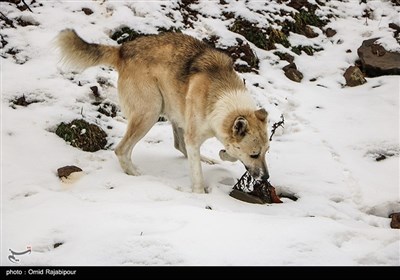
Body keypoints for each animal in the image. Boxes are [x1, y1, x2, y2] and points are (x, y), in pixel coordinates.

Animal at [57, 30, 270, 192]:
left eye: (266, 151)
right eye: (254, 154)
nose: (266, 178)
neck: (221, 95)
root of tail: (122, 50)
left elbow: (223, 152)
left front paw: (223, 154)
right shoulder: (194, 136)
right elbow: (197, 175)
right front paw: (200, 195)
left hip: (171, 109)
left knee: (179, 146)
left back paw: (206, 159)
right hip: (150, 112)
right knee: (121, 150)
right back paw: (135, 174)